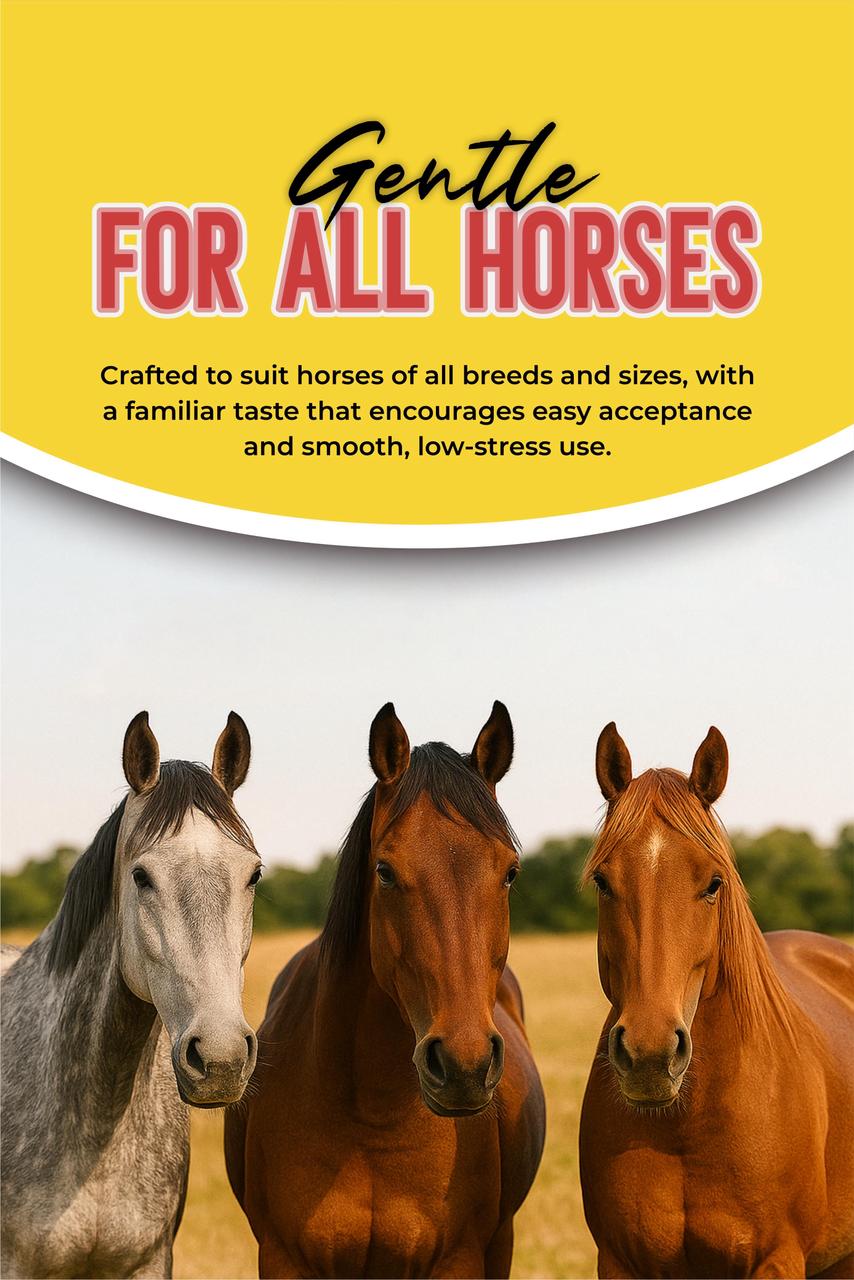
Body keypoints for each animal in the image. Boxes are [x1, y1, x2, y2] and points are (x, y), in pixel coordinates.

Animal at [225, 701, 546, 1279]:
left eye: (510, 871)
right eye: (385, 870)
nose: (464, 1065)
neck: (371, 1118)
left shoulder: (458, 1259)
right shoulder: (284, 1258)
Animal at [579, 723, 854, 1279]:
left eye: (713, 882)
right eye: (602, 880)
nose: (650, 1056)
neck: (689, 1124)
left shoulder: (777, 1261)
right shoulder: (620, 1262)